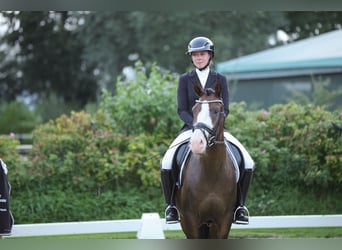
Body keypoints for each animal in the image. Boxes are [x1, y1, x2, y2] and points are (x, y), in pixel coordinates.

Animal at [175, 82, 236, 238]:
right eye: (194, 110)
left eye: (215, 111)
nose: (197, 143)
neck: (211, 170)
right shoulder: (190, 219)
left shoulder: (224, 220)